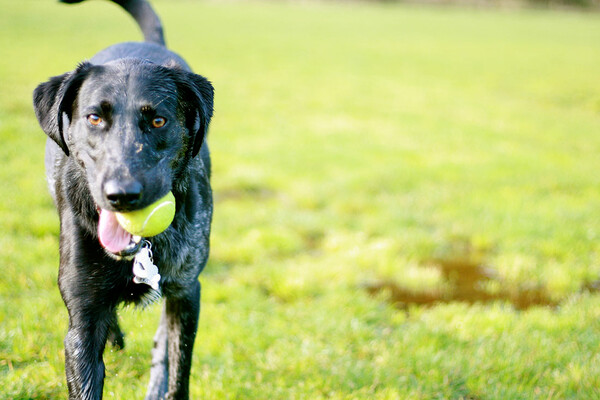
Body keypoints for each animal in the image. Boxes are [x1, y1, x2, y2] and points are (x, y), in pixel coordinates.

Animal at [32, 1, 214, 398]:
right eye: (94, 118)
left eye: (159, 121)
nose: (122, 195)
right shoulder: (81, 325)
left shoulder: (186, 294)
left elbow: (178, 372)